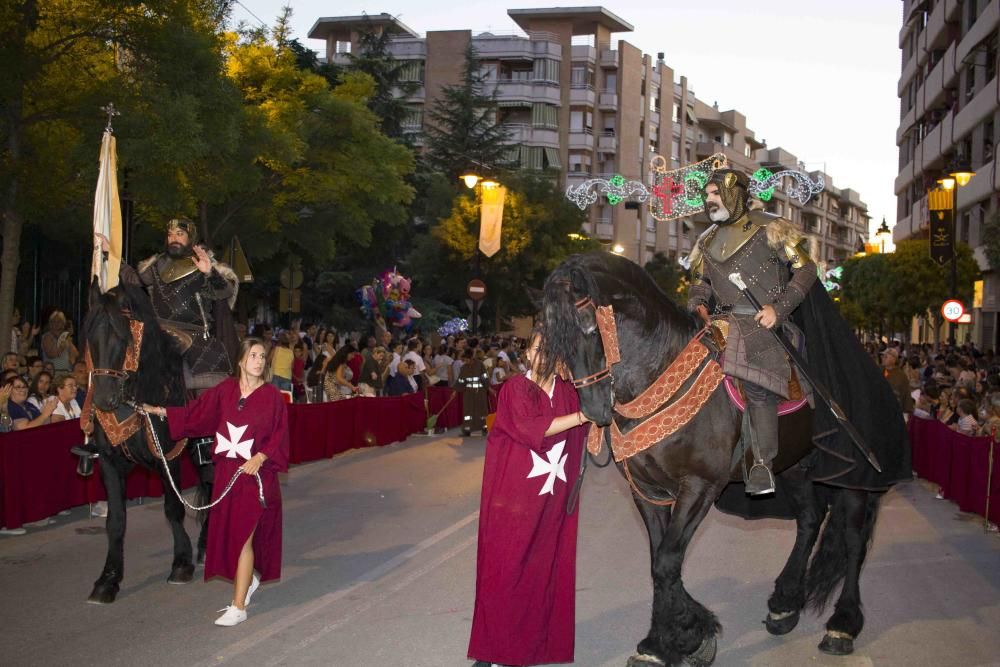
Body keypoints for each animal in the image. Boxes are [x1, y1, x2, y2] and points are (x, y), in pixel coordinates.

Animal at [82, 280, 209, 604]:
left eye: (122, 337)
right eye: (90, 336)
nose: (103, 399)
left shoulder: (169, 458)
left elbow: (173, 509)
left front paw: (181, 564)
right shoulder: (111, 462)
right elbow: (116, 520)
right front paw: (108, 579)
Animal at [544, 253, 904, 667]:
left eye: (589, 326)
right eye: (552, 337)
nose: (594, 409)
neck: (661, 374)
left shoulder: (699, 487)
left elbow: (667, 560)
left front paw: (684, 636)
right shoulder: (648, 492)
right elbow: (659, 561)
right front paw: (669, 640)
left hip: (854, 477)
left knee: (853, 539)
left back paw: (842, 625)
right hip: (796, 466)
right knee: (811, 519)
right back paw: (785, 604)